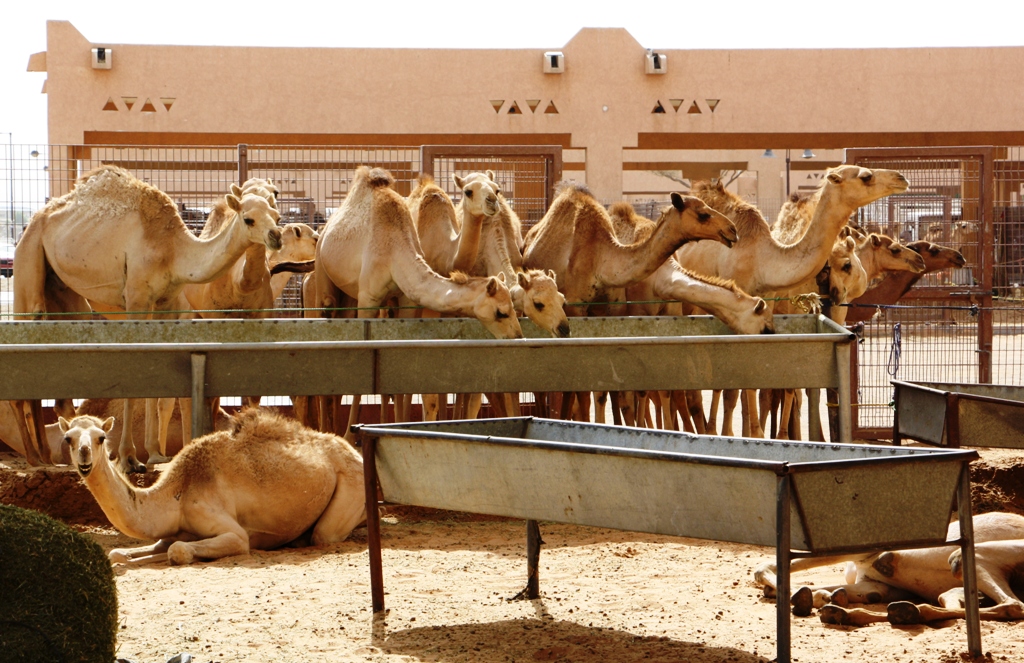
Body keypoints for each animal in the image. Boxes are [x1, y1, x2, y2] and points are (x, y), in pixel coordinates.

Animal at [12, 166, 284, 477]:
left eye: (276, 215)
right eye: (249, 219)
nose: (277, 236)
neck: (173, 250)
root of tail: (36, 219)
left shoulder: (164, 304)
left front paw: (154, 454)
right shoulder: (137, 299)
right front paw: (129, 458)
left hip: (63, 290)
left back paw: (50, 455)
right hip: (29, 257)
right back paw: (35, 457)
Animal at [58, 409, 364, 565]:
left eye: (100, 437)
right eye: (68, 438)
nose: (84, 455)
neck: (175, 495)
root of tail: (356, 453)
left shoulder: (233, 533)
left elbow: (177, 551)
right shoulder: (173, 531)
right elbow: (119, 552)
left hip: (350, 485)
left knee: (324, 534)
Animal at [753, 514, 1024, 627]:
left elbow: (765, 568)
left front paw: (810, 597)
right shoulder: (875, 583)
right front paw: (823, 597)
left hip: (972, 559)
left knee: (1012, 605)